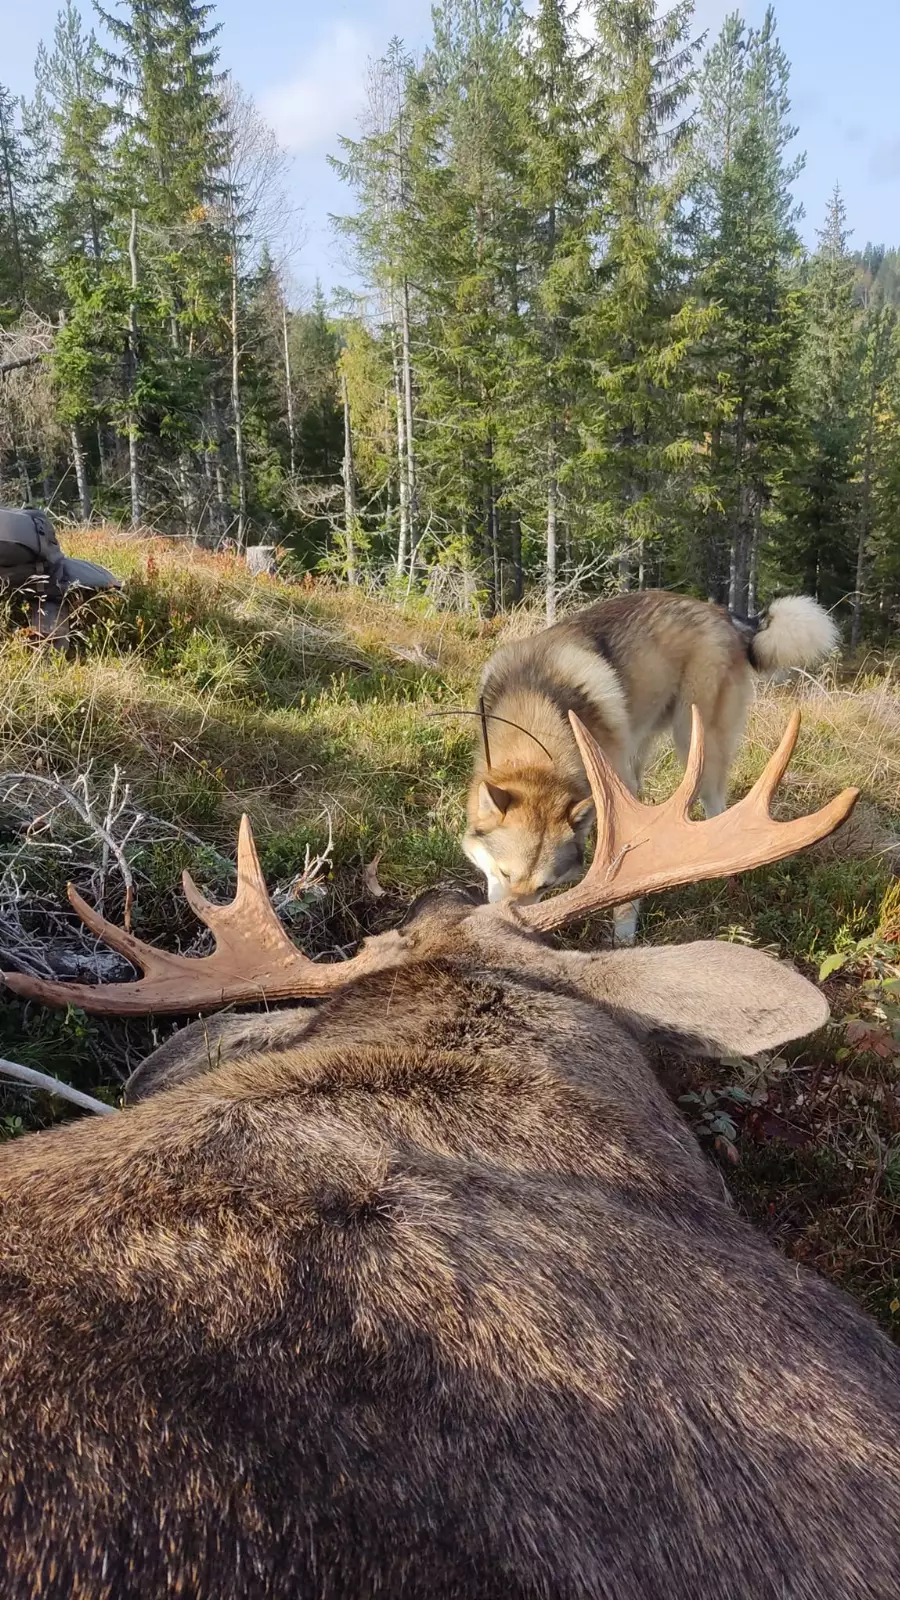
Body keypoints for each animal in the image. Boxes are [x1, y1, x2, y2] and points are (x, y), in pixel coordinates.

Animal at [462, 591, 839, 942]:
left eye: (545, 886)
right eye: (504, 873)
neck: (536, 710)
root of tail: (725, 614)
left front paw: (623, 937)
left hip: (695, 738)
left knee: (716, 804)